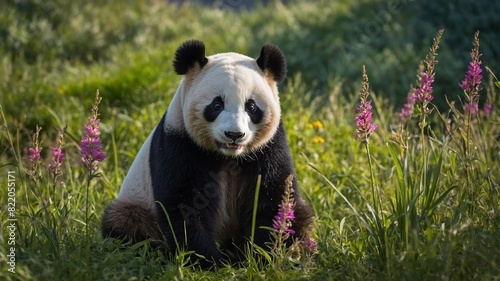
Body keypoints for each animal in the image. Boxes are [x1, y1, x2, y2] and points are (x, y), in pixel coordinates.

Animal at [101, 40, 312, 266]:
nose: (234, 134)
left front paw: (260, 256)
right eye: (217, 104)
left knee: (300, 215)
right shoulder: (180, 142)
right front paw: (209, 261)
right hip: (138, 203)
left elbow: (273, 195)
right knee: (126, 223)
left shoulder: (269, 147)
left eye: (251, 106)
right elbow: (186, 203)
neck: (228, 156)